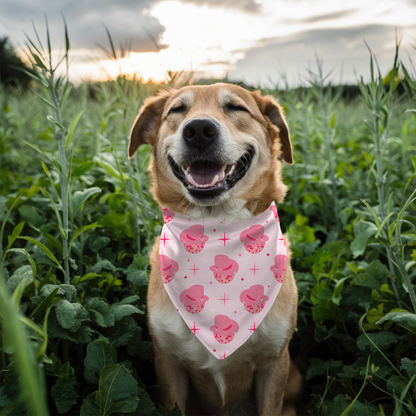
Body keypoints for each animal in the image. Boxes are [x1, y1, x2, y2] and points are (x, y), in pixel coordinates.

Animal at [128, 84, 300, 416]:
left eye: (236, 107)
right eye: (177, 110)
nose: (198, 130)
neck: (216, 229)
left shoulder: (275, 362)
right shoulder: (168, 364)